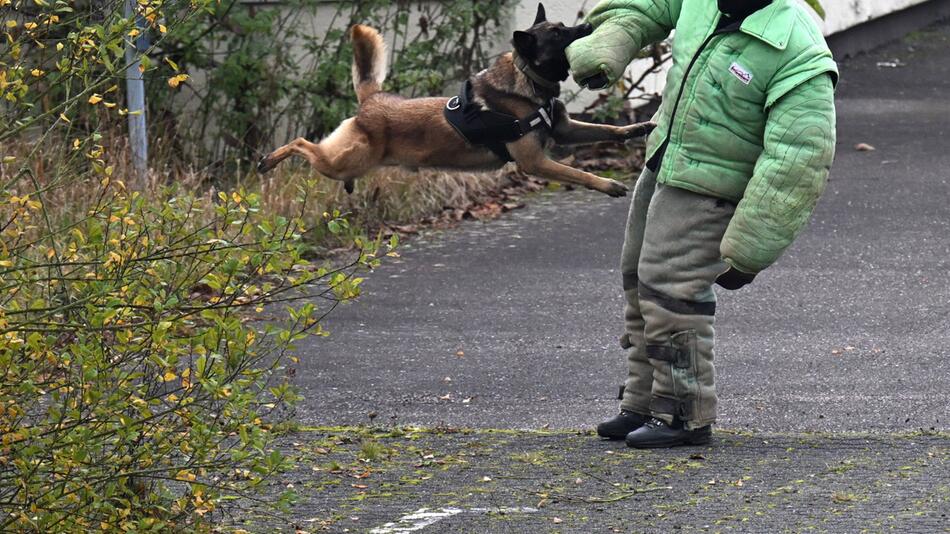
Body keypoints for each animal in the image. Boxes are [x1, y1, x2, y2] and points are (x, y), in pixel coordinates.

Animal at [256, 2, 660, 199]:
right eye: (559, 35)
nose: (590, 27)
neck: (528, 81)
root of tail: (374, 99)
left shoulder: (565, 130)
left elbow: (607, 128)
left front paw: (639, 127)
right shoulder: (534, 162)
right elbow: (577, 172)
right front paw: (608, 185)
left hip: (347, 164)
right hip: (339, 161)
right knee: (300, 143)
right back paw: (268, 160)